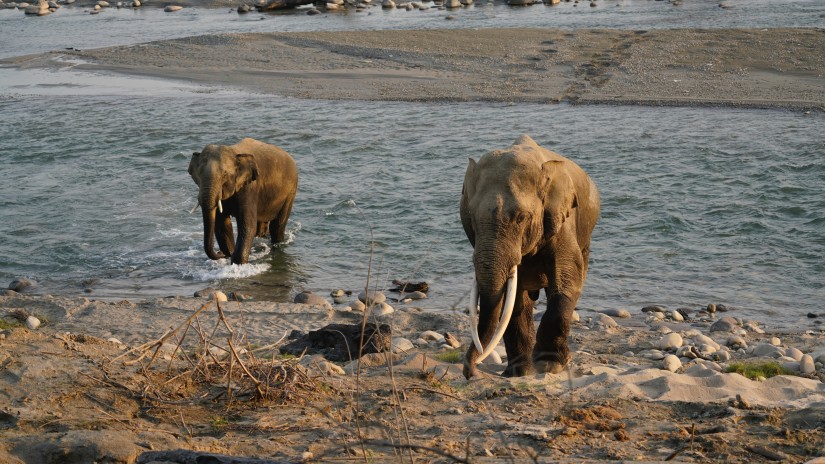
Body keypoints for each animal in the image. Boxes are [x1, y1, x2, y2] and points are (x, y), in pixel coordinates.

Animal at [458, 135, 600, 380]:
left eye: (521, 217)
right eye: (471, 217)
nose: (471, 372)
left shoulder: (563, 223)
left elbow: (567, 280)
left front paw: (549, 365)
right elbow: (513, 298)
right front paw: (518, 374)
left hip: (586, 236)